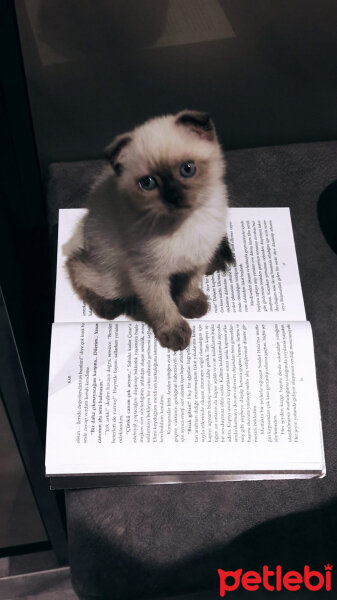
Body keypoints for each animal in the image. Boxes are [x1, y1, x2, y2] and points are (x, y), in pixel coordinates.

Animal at [66, 111, 232, 352]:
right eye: (148, 183)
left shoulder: (198, 258)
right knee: (76, 265)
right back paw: (108, 308)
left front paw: (191, 304)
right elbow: (163, 306)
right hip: (115, 280)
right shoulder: (148, 275)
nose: (172, 197)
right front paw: (175, 333)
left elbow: (190, 285)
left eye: (188, 169)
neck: (185, 225)